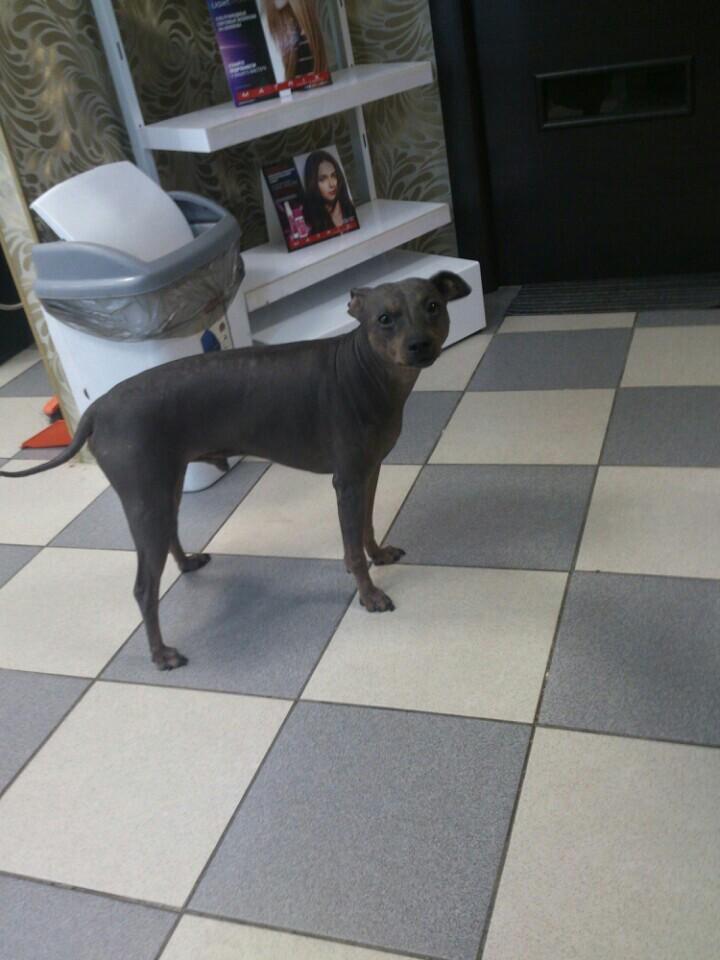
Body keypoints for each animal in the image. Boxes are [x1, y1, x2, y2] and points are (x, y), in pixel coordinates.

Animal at [1, 272, 471, 669]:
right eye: (384, 319)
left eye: (433, 306)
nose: (419, 345)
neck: (368, 372)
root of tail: (96, 408)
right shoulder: (348, 482)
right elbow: (351, 550)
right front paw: (369, 594)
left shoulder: (369, 471)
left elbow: (367, 527)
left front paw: (379, 554)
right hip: (145, 499)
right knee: (143, 588)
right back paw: (161, 654)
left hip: (165, 487)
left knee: (170, 536)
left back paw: (187, 563)